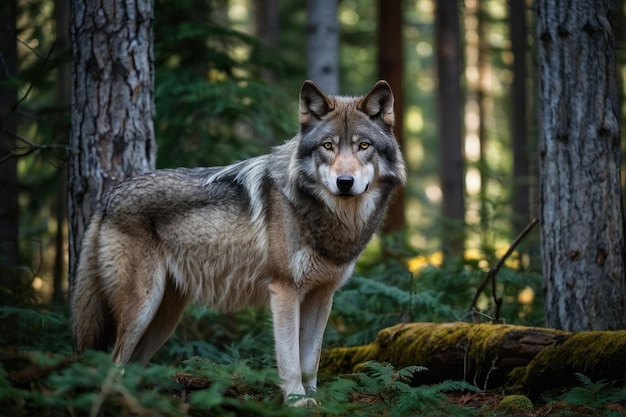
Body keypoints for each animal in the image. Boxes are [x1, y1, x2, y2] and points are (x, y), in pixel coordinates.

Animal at [70, 79, 408, 402]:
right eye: (328, 146)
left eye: (363, 145)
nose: (345, 182)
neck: (330, 219)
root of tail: (108, 197)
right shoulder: (284, 291)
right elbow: (291, 362)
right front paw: (298, 402)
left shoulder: (322, 296)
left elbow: (311, 361)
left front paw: (319, 401)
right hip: (142, 308)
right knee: (113, 364)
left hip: (164, 317)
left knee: (131, 366)